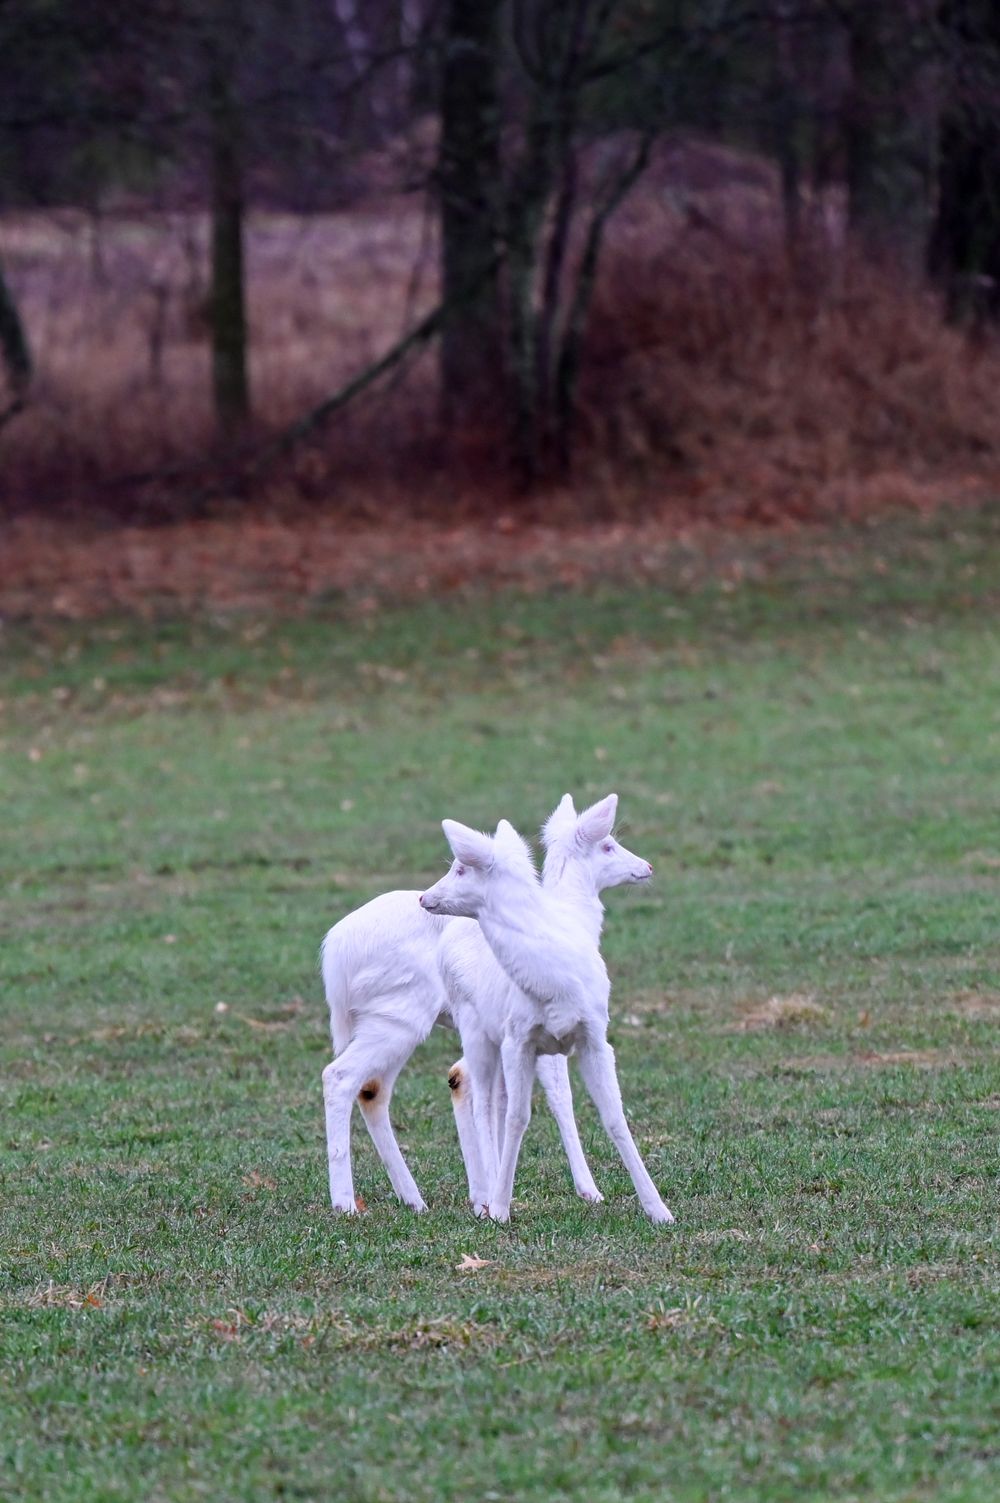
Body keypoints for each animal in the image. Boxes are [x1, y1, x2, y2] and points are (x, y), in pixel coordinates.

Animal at [419, 816, 675, 1225]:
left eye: (460, 867)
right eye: (608, 845)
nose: (424, 898)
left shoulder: (590, 1037)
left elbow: (607, 1113)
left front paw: (656, 1209)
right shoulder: (521, 1039)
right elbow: (522, 1115)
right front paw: (502, 1207)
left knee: (488, 1092)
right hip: (473, 1027)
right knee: (479, 1099)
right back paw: (484, 1197)